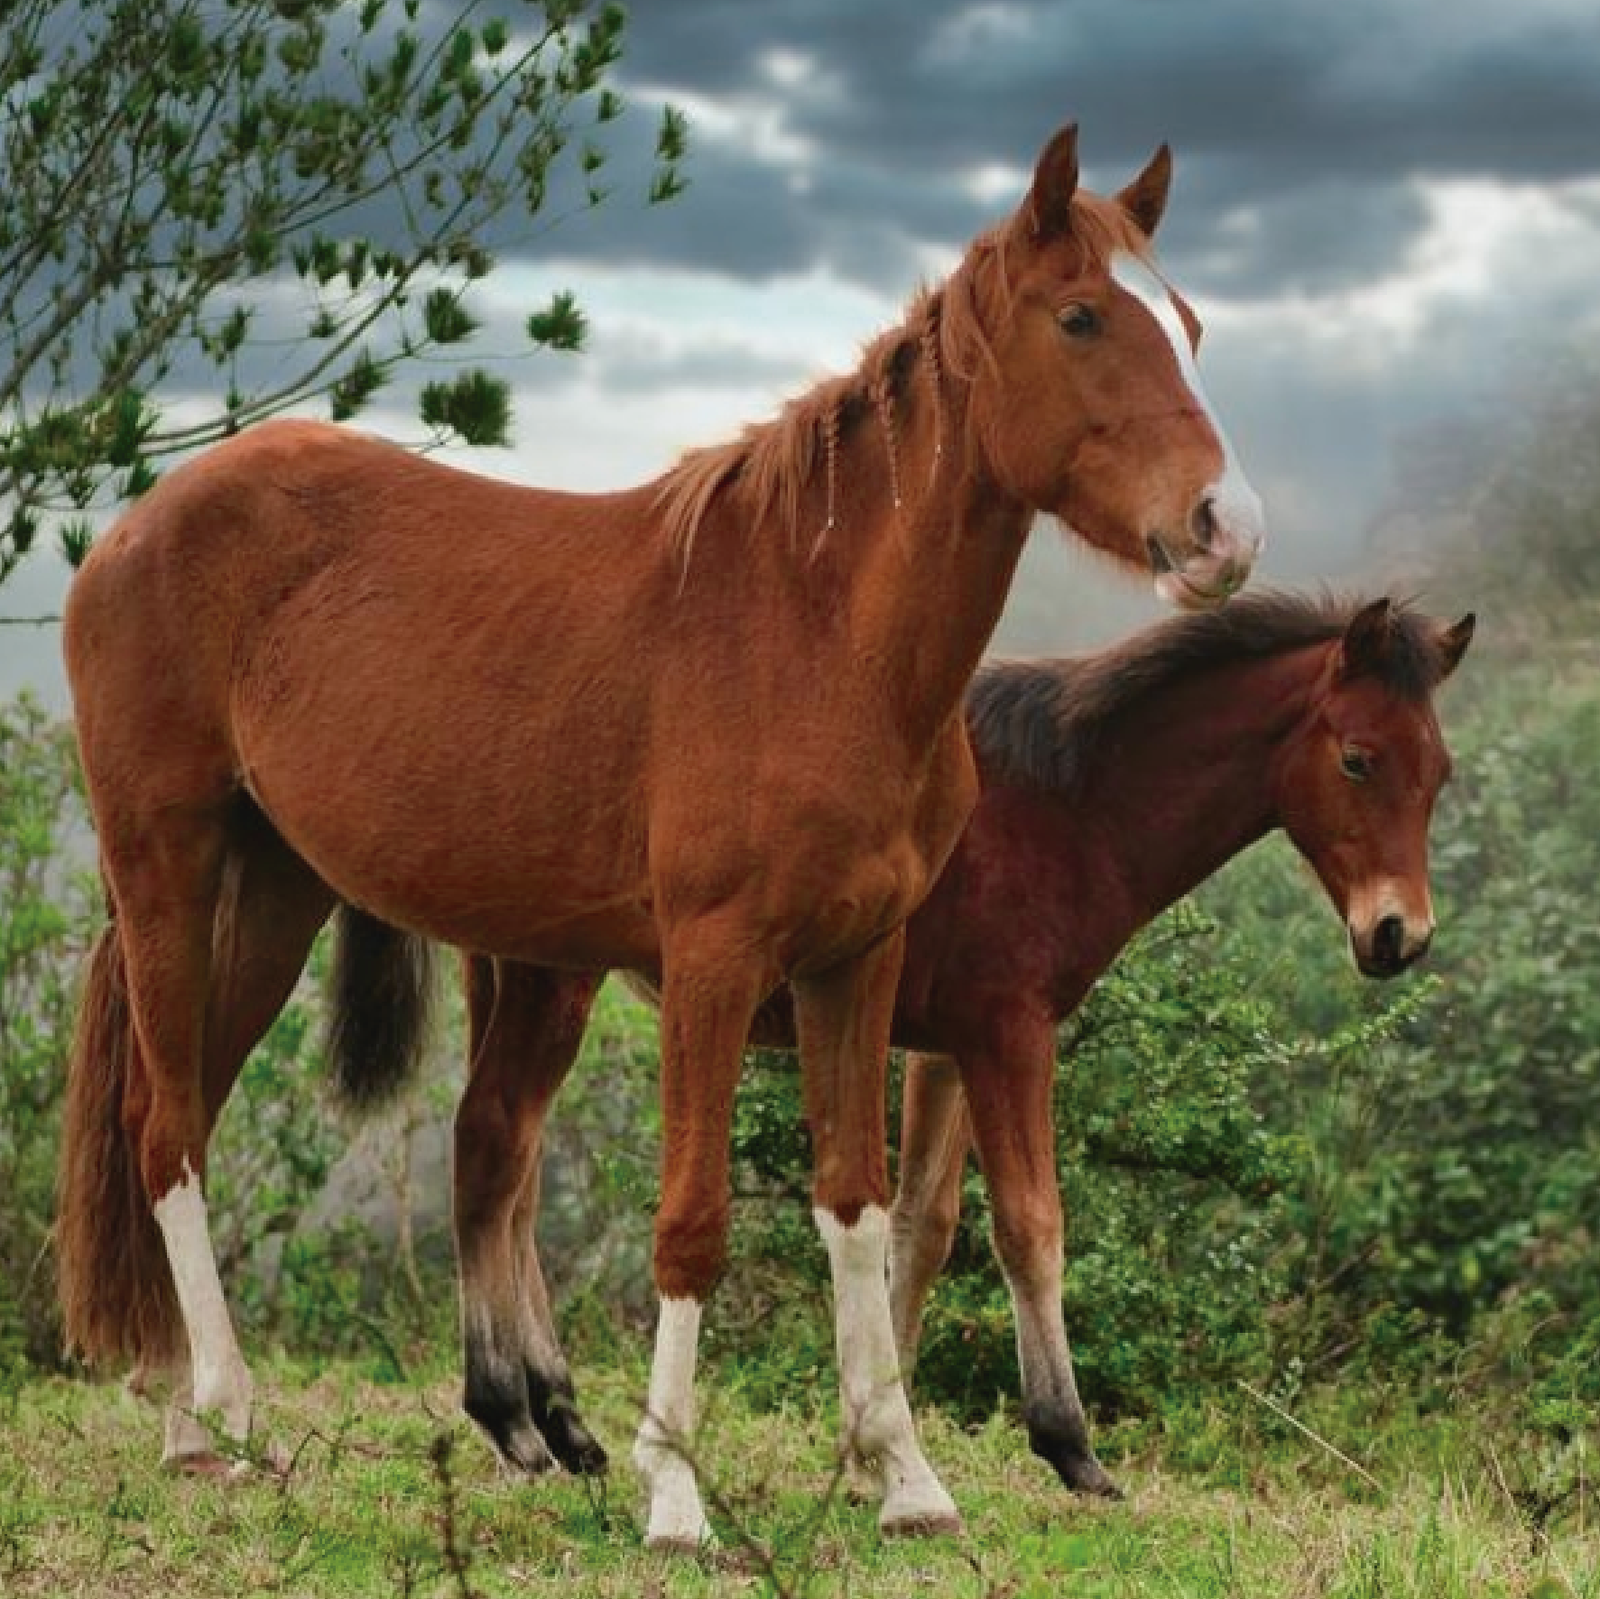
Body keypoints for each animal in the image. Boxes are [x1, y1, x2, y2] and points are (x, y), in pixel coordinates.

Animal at [59, 118, 1260, 1542]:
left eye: (1189, 324)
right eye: (1080, 317)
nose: (1225, 529)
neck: (817, 635)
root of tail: (135, 525)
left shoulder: (856, 966)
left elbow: (855, 1206)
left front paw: (903, 1477)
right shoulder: (714, 964)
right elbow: (690, 1221)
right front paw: (675, 1492)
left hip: (274, 893)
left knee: (183, 1110)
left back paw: (192, 1425)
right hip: (167, 866)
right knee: (171, 1135)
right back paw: (234, 1417)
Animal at [368, 589, 1465, 1498]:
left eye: (1441, 772)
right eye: (1357, 758)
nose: (1398, 935)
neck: (1067, 802)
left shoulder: (938, 1046)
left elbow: (915, 1224)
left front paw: (870, 1446)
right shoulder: (1009, 1032)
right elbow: (1030, 1225)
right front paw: (1067, 1444)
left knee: (514, 1178)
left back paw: (561, 1418)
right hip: (554, 979)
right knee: (495, 1144)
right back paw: (514, 1415)